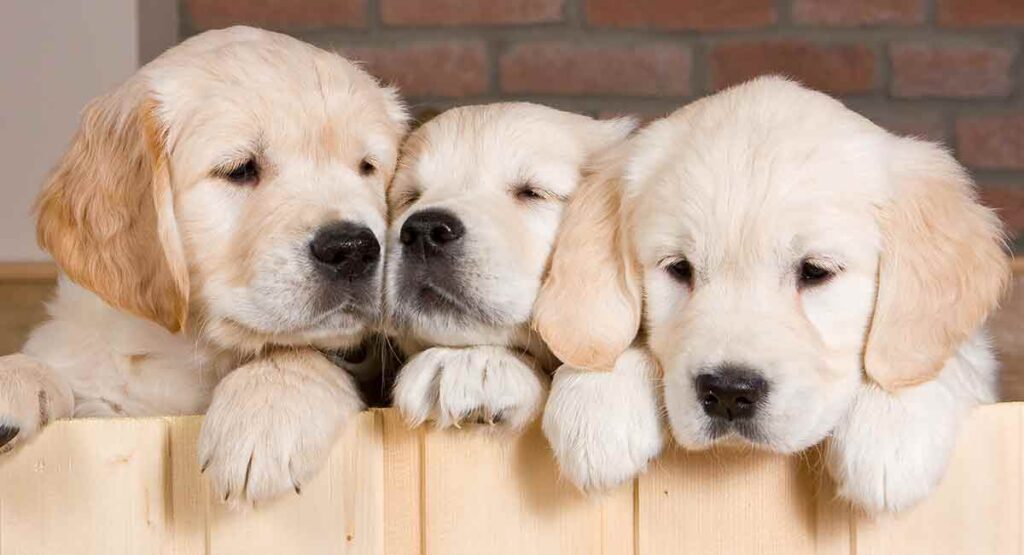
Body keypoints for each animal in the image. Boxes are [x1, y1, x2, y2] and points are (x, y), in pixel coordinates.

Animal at [0, 26, 407, 503]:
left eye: (367, 167)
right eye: (240, 169)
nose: (353, 246)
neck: (185, 352)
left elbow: (302, 350)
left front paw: (267, 405)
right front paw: (16, 377)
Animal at [540, 77, 1011, 514]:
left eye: (815, 272)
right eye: (679, 269)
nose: (728, 393)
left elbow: (944, 362)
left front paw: (891, 427)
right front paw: (596, 403)